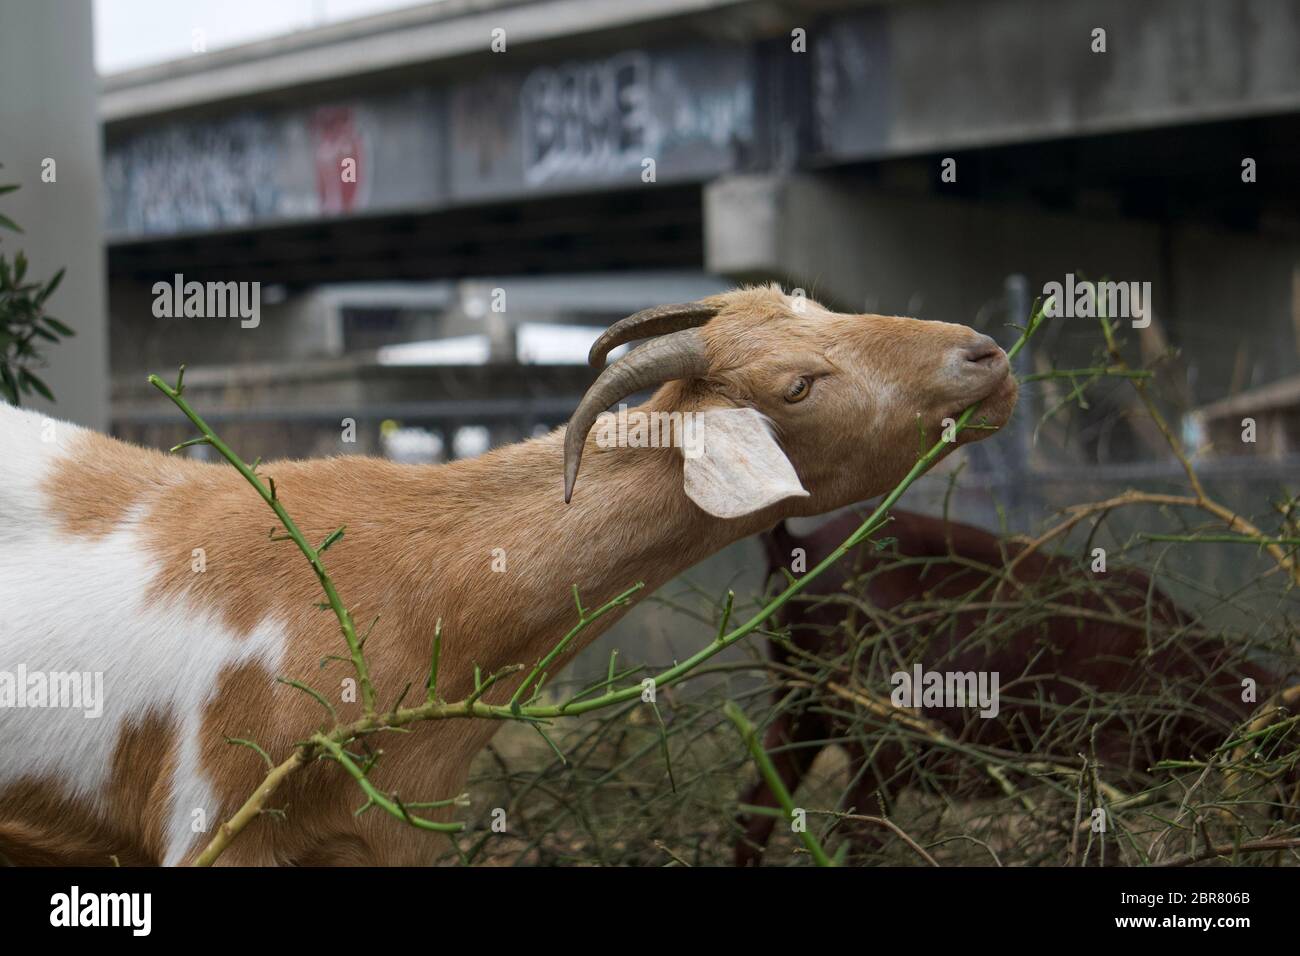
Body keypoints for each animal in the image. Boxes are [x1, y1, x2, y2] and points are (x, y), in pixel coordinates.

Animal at [735, 509, 1292, 866]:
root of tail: (796, 548)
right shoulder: (1103, 755)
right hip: (881, 731)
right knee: (858, 835)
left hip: (798, 706)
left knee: (754, 812)